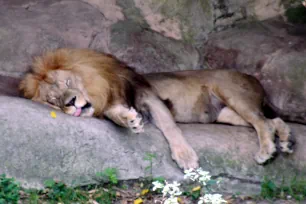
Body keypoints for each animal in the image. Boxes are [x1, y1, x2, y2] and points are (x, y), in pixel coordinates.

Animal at [18, 47, 294, 169]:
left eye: (67, 83)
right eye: (53, 99)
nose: (70, 103)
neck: (102, 89)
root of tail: (252, 77)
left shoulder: (150, 98)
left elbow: (171, 128)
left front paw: (185, 157)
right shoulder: (112, 103)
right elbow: (115, 114)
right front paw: (130, 120)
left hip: (233, 94)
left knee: (263, 122)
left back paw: (267, 150)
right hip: (227, 114)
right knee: (272, 120)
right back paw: (286, 141)